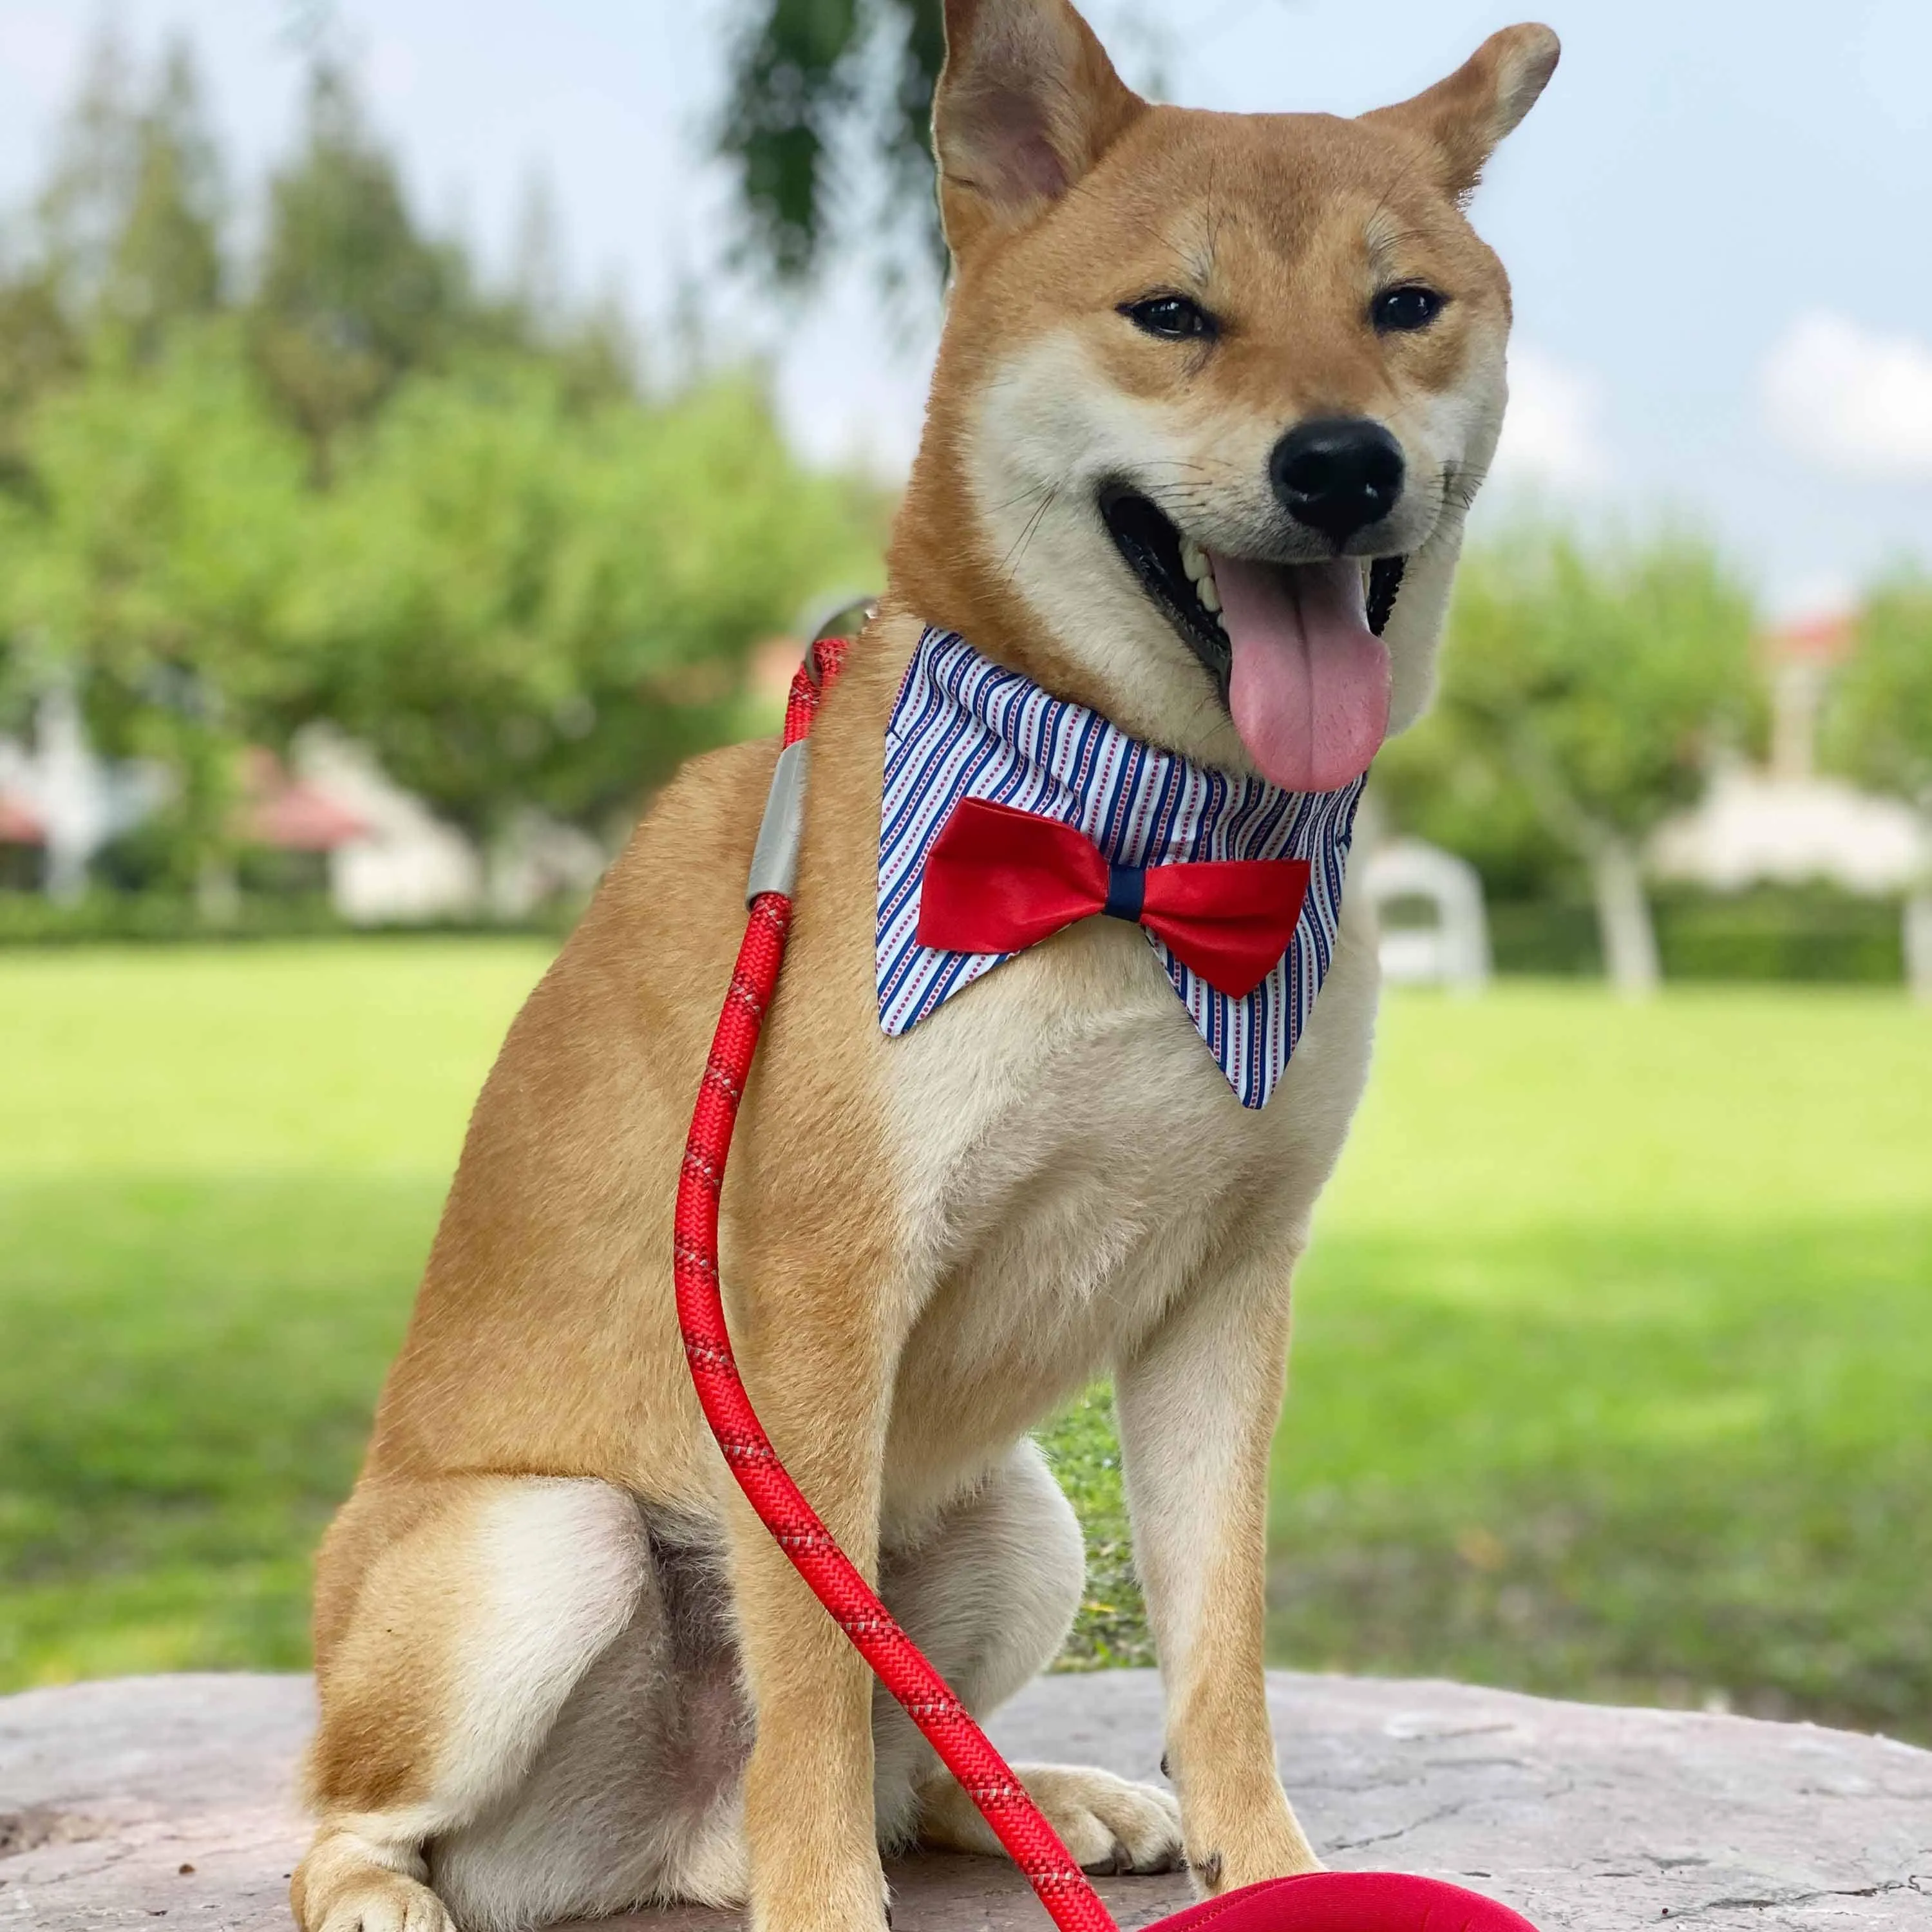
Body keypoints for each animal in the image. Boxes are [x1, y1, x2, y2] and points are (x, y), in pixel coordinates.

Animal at [290, 3, 1553, 1932]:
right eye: (1171, 315)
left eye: (1403, 303)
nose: (1340, 462)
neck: (1137, 840)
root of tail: (676, 1835)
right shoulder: (810, 1295)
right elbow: (817, 1683)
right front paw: (827, 1908)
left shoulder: (1227, 1291)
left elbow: (1222, 1650)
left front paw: (1270, 1866)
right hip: (540, 1547)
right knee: (362, 1808)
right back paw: (389, 1890)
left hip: (1021, 1516)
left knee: (920, 1762)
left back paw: (1055, 1801)